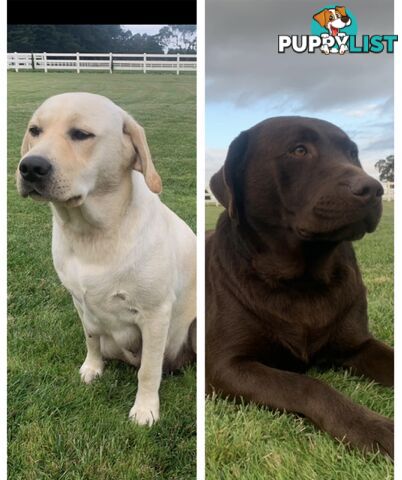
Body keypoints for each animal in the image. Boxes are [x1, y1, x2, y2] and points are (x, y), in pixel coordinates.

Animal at [17, 92, 196, 426]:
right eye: (35, 131)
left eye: (80, 134)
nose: (30, 166)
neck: (91, 234)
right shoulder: (80, 302)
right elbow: (91, 338)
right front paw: (92, 367)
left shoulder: (155, 314)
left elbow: (148, 370)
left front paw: (145, 409)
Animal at [206, 116, 394, 458]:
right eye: (299, 150)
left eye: (353, 153)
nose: (373, 189)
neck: (303, 280)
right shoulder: (226, 366)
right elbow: (306, 385)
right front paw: (370, 427)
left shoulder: (358, 345)